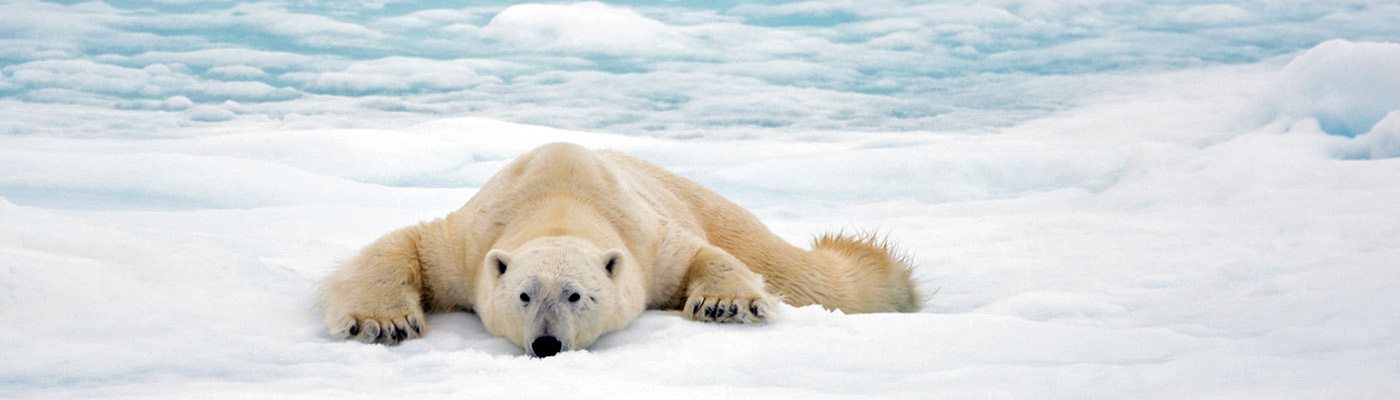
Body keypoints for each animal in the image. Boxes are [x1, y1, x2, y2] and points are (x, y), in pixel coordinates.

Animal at [317, 142, 922, 357]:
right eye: (523, 295)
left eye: (576, 295)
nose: (546, 344)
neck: (558, 197)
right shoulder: (468, 241)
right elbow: (407, 245)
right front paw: (384, 322)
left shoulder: (648, 240)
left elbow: (700, 255)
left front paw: (723, 304)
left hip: (712, 205)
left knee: (809, 273)